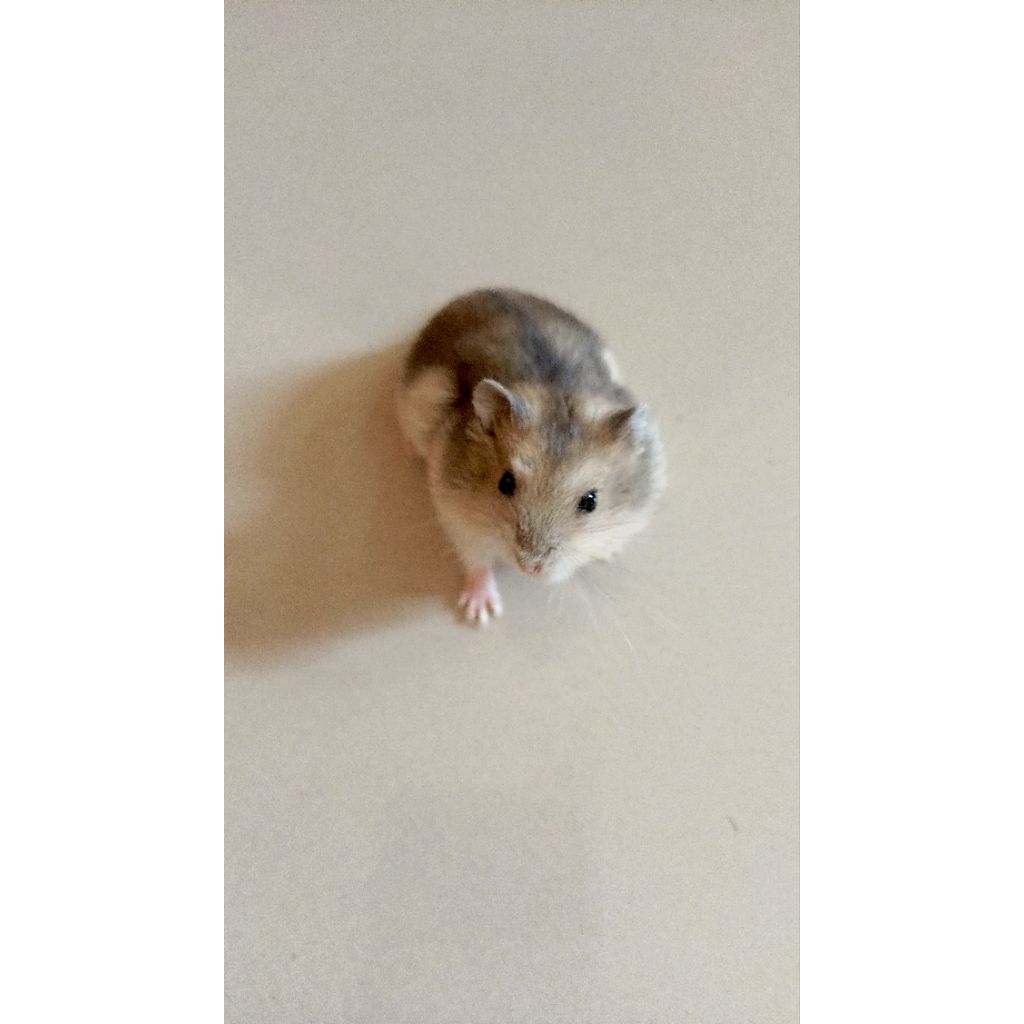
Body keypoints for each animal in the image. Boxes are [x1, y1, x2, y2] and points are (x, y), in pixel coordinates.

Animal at [396, 288, 666, 624]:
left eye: (590, 501)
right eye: (506, 483)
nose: (530, 565)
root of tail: (481, 292)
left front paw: (610, 552)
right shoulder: (458, 517)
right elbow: (477, 561)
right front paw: (480, 614)